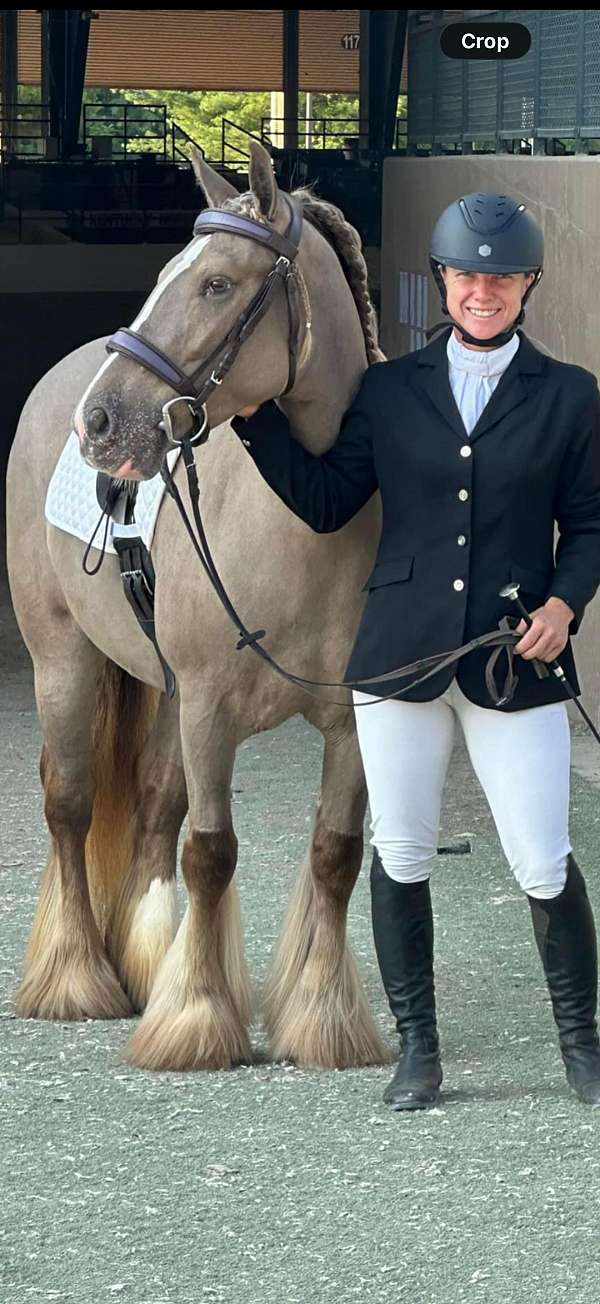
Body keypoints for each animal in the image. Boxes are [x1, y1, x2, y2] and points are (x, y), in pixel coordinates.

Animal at [6, 140, 389, 1072]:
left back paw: (149, 968)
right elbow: (212, 853)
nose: (103, 422)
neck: (305, 521)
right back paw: (76, 979)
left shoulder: (349, 721)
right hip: (65, 660)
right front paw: (198, 1024)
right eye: (169, 273)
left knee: (151, 810)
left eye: (216, 283)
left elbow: (333, 856)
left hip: (167, 694)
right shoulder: (212, 708)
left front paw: (322, 1021)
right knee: (70, 803)